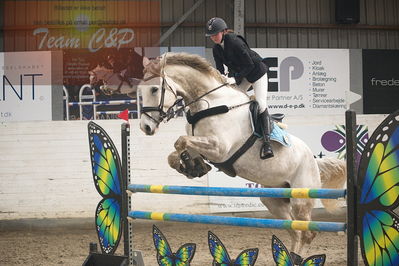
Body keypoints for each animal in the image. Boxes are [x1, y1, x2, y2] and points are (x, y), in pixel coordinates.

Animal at [135, 53, 346, 254]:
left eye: (154, 89)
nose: (145, 127)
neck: (210, 102)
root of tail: (314, 162)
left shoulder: (219, 148)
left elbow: (180, 141)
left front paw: (192, 165)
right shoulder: (204, 144)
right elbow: (174, 154)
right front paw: (193, 167)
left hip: (301, 198)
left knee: (307, 233)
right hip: (273, 198)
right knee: (296, 232)